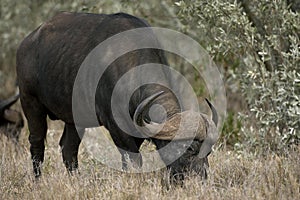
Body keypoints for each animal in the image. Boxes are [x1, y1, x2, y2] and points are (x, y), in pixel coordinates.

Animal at [17, 11, 218, 182]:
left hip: (74, 119)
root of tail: (26, 43)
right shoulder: (116, 127)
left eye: (208, 150)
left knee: (68, 150)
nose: (200, 179)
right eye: (189, 148)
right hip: (31, 103)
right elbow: (133, 160)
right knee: (37, 144)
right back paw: (38, 181)